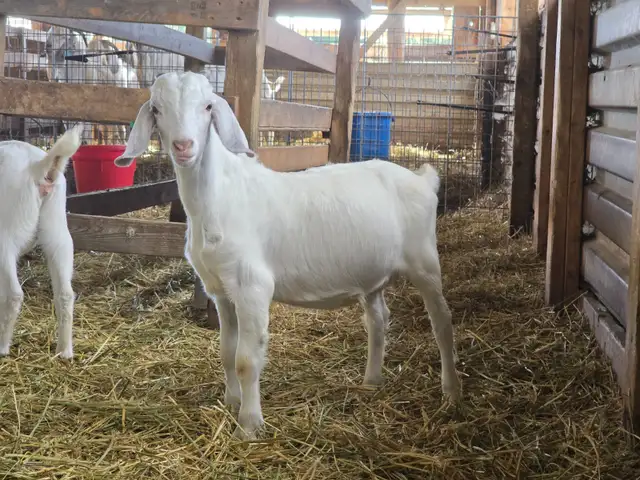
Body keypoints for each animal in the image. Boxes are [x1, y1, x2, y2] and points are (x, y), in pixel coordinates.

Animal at [0, 125, 83, 359]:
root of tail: (38, 166)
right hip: (58, 232)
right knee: (65, 293)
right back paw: (64, 351)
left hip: (6, 234)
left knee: (13, 295)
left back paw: (2, 347)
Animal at [114, 71, 461, 440]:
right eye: (156, 109)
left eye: (207, 106)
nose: (183, 146)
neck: (221, 196)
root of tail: (424, 180)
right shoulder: (220, 291)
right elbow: (226, 351)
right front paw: (231, 402)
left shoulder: (252, 287)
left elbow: (246, 359)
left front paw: (249, 425)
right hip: (372, 273)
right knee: (378, 319)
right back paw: (371, 381)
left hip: (424, 260)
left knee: (442, 322)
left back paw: (451, 391)